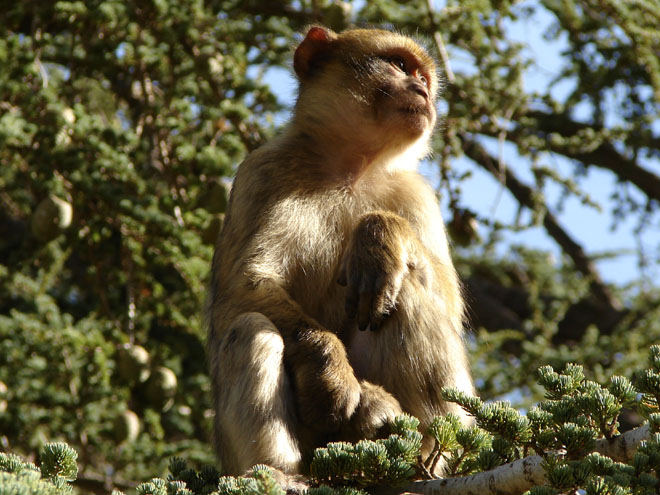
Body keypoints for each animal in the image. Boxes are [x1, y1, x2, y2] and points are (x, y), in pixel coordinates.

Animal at [209, 25, 472, 474]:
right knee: (251, 329)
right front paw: (329, 369)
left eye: (424, 77)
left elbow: (450, 304)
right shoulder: (261, 172)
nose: (423, 90)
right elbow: (243, 287)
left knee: (400, 289)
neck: (351, 168)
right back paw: (281, 473)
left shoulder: (417, 195)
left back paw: (425, 455)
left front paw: (376, 236)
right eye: (400, 65)